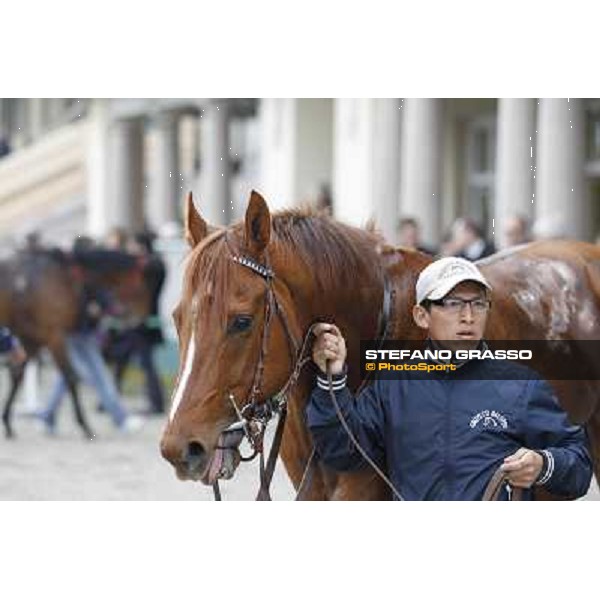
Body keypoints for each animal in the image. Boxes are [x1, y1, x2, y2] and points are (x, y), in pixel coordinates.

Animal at [0, 246, 150, 438]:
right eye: (143, 288)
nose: (140, 318)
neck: (65, 276)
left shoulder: (32, 340)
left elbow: (17, 374)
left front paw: (7, 423)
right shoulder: (54, 336)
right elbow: (71, 377)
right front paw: (84, 425)